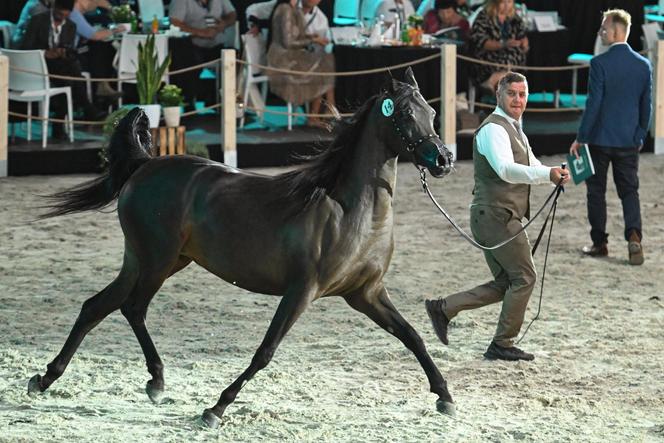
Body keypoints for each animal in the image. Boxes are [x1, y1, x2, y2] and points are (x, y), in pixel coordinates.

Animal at [29, 67, 456, 428]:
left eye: (433, 111)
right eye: (405, 113)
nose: (443, 159)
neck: (352, 212)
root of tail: (144, 165)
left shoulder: (365, 293)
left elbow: (412, 336)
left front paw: (445, 397)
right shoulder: (302, 291)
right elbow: (265, 351)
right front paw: (215, 409)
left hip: (148, 260)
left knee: (96, 306)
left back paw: (46, 378)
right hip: (157, 261)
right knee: (132, 308)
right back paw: (156, 382)